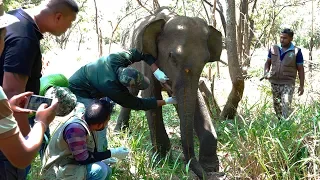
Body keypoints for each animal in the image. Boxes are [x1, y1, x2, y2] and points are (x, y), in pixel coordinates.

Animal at [115, 6, 222, 179]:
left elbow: (196, 99)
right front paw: (162, 161)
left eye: (205, 61)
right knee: (131, 92)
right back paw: (119, 132)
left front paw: (211, 167)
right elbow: (152, 98)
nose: (204, 174)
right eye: (172, 57)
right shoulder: (147, 59)